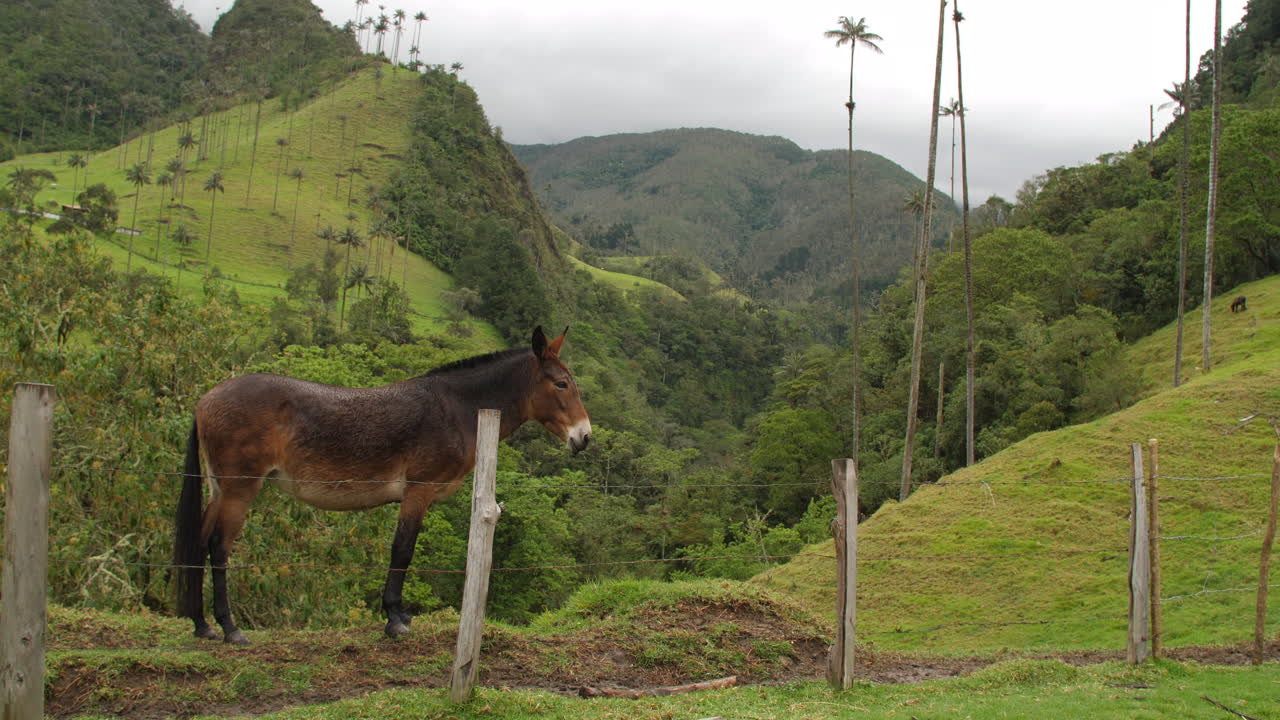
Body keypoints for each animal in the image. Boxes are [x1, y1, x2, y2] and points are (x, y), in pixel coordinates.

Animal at [173, 326, 591, 644]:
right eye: (561, 384)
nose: (584, 437)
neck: (457, 409)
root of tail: (206, 400)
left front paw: (397, 615)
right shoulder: (418, 491)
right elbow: (402, 550)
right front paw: (394, 618)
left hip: (219, 489)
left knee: (199, 540)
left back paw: (202, 625)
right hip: (239, 489)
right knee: (218, 547)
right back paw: (230, 628)